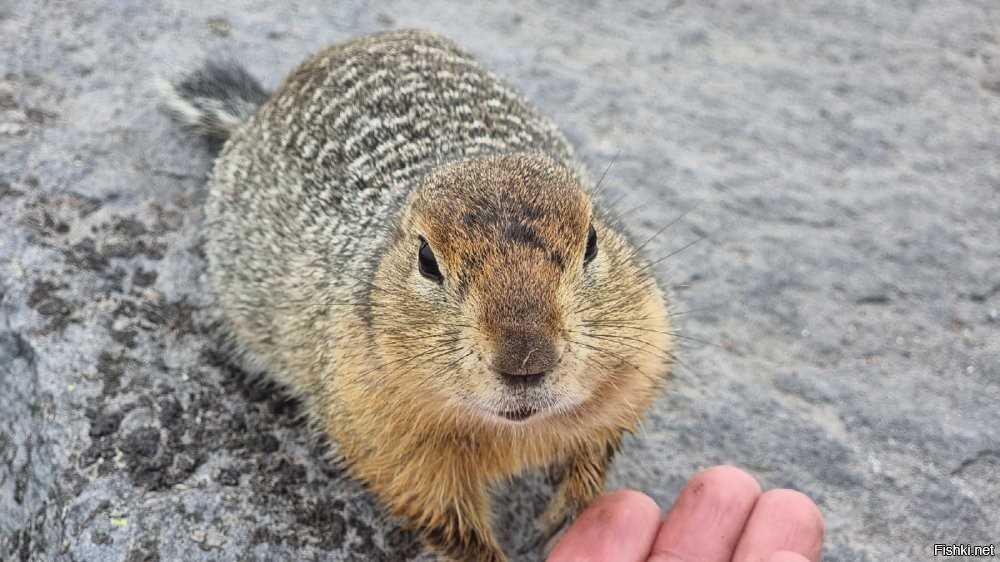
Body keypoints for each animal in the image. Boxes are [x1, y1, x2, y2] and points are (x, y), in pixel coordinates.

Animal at [164, 30, 676, 560]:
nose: (526, 359)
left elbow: (600, 443)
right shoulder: (382, 434)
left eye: (592, 241)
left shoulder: (639, 358)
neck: (515, 431)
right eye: (427, 259)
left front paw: (567, 509)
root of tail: (264, 104)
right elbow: (441, 515)